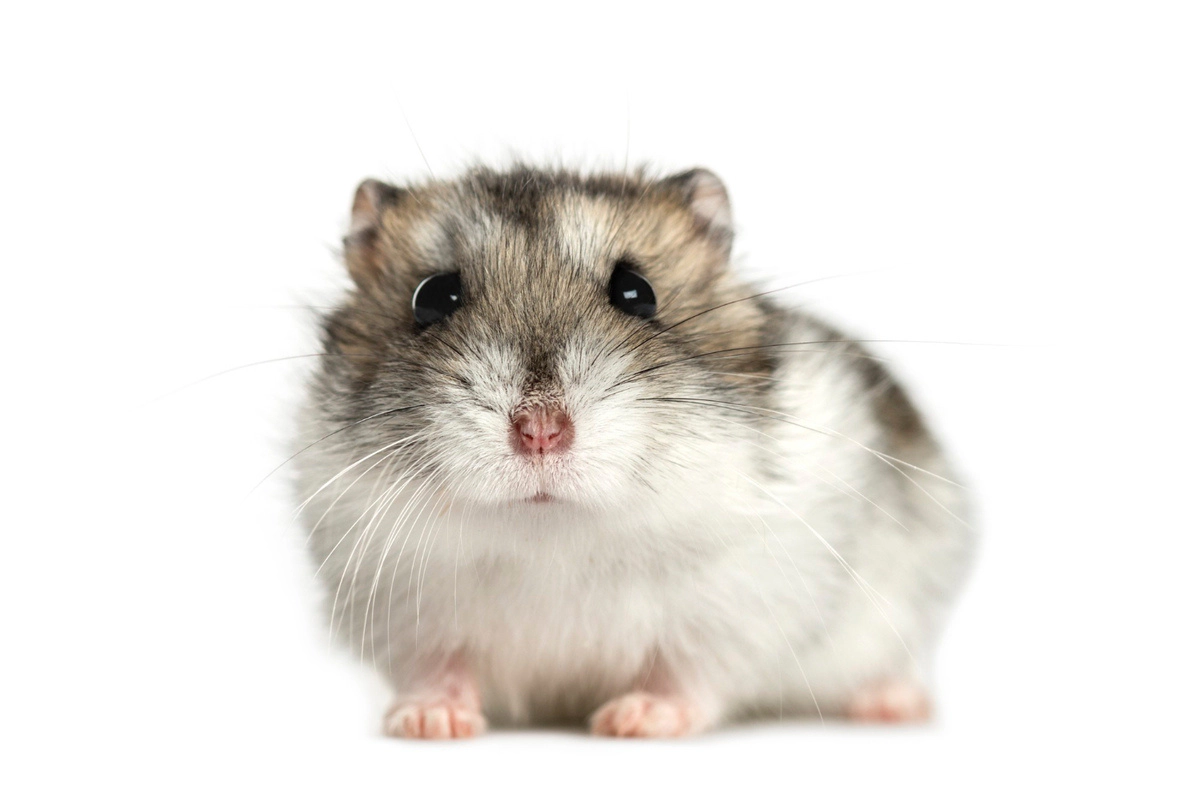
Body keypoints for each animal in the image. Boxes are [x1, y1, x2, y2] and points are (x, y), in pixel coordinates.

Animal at [292, 165, 974, 738]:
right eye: (432, 297)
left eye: (637, 292)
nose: (540, 430)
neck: (552, 536)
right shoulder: (404, 614)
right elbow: (438, 668)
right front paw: (427, 722)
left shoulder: (739, 611)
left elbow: (688, 672)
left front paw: (634, 720)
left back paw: (894, 705)